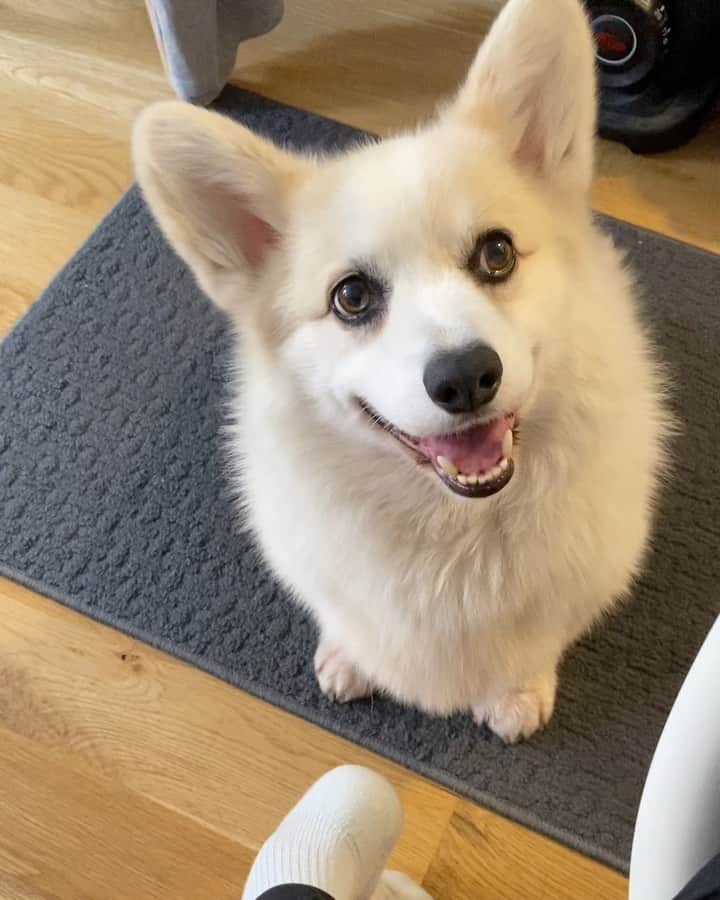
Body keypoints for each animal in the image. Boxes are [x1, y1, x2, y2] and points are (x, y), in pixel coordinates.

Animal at [132, 0, 668, 740]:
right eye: (351, 297)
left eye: (496, 253)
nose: (466, 377)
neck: (455, 535)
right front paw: (349, 657)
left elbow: (537, 639)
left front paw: (517, 690)